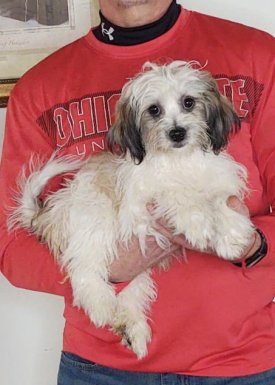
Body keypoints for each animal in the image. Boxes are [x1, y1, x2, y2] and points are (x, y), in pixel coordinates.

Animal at [8, 60, 254, 356]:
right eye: (154, 109)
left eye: (189, 102)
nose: (177, 133)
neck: (180, 160)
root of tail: (48, 212)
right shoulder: (139, 206)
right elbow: (175, 193)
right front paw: (197, 223)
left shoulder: (220, 181)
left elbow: (223, 201)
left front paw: (232, 238)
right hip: (95, 215)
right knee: (83, 266)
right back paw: (100, 304)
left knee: (128, 293)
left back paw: (131, 329)